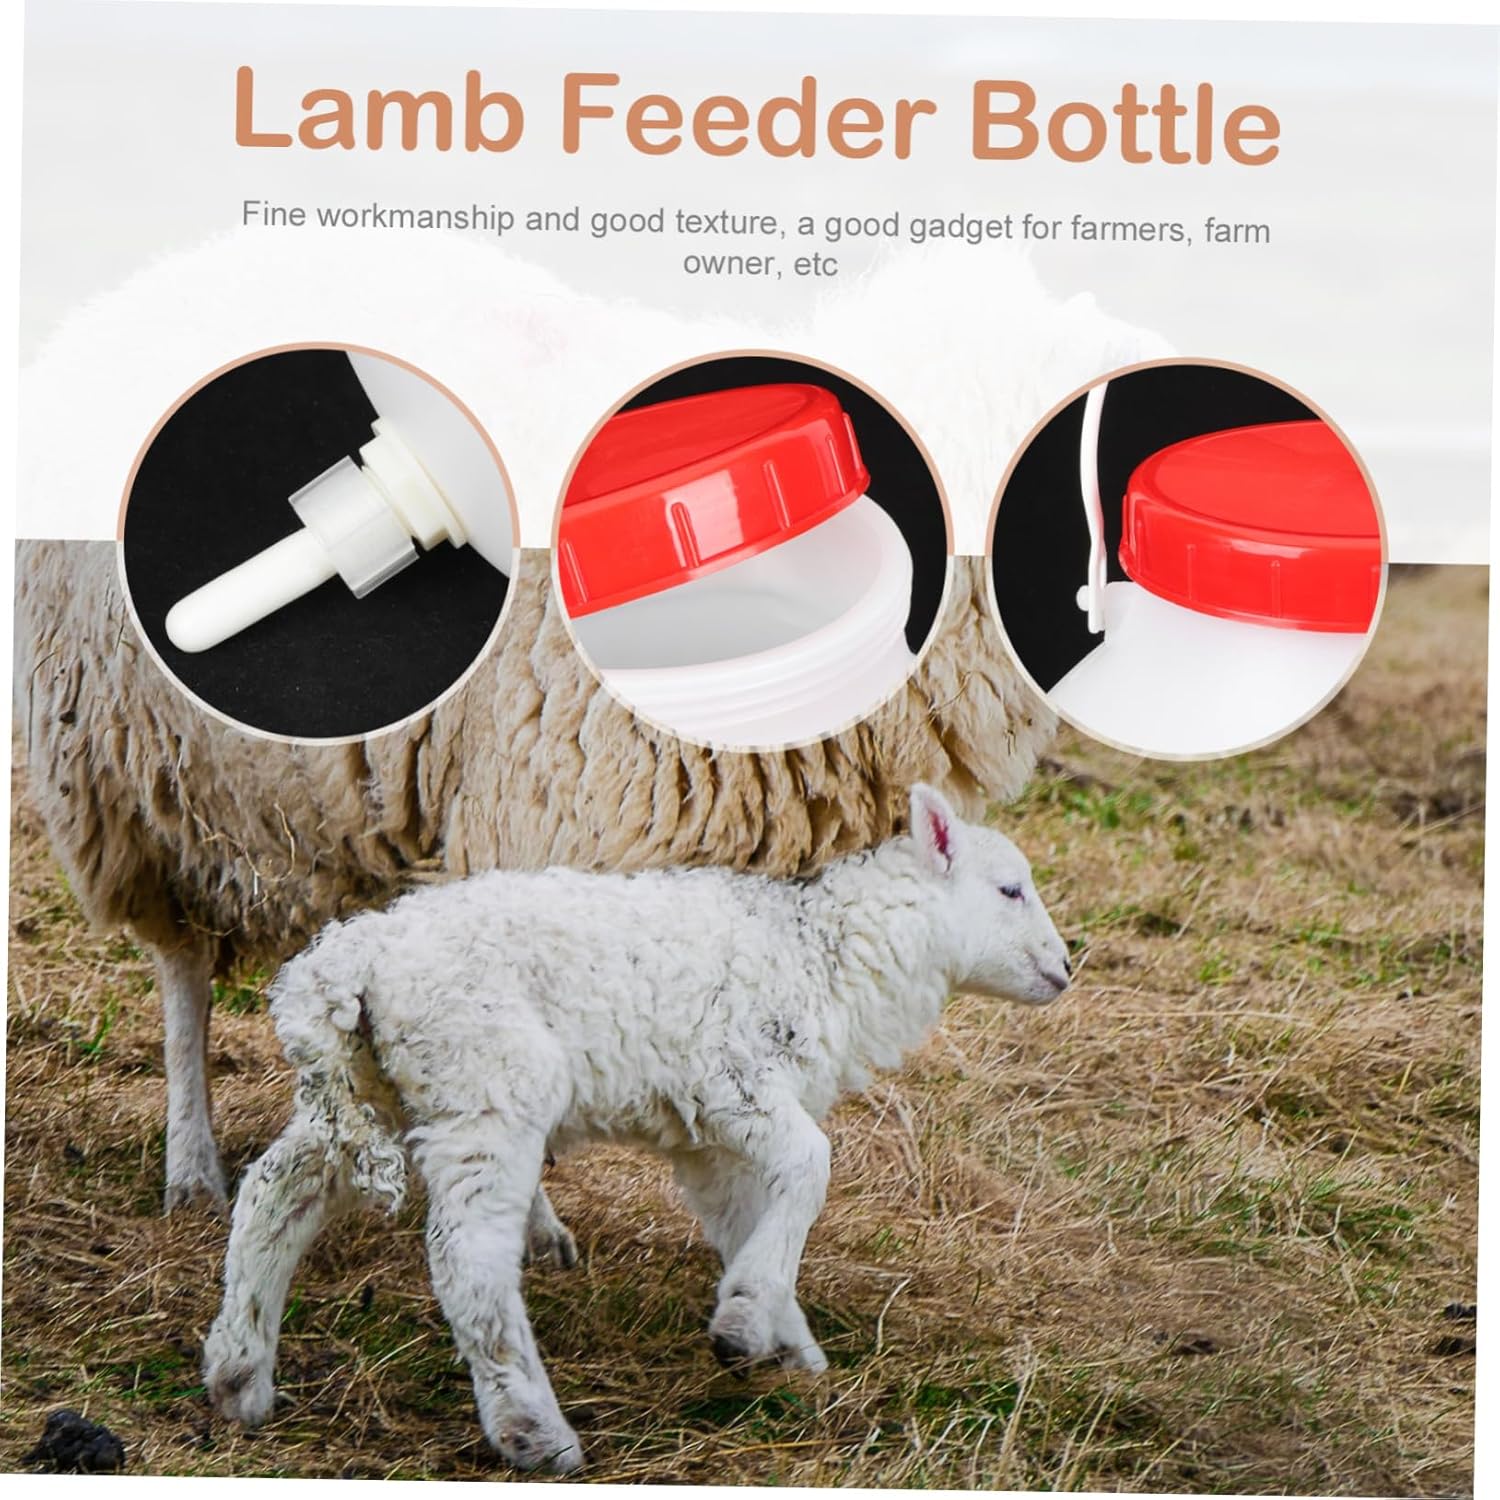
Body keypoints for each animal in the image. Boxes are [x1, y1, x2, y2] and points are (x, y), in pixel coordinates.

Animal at [201, 783, 1071, 1473]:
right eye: (1009, 891)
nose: (1066, 970)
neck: (827, 953)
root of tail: (345, 961)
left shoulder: (708, 1138)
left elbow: (744, 1217)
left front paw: (778, 1336)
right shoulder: (731, 1080)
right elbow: (812, 1164)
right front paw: (748, 1318)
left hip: (365, 1085)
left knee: (276, 1192)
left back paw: (240, 1373)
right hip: (487, 1080)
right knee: (468, 1261)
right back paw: (533, 1433)